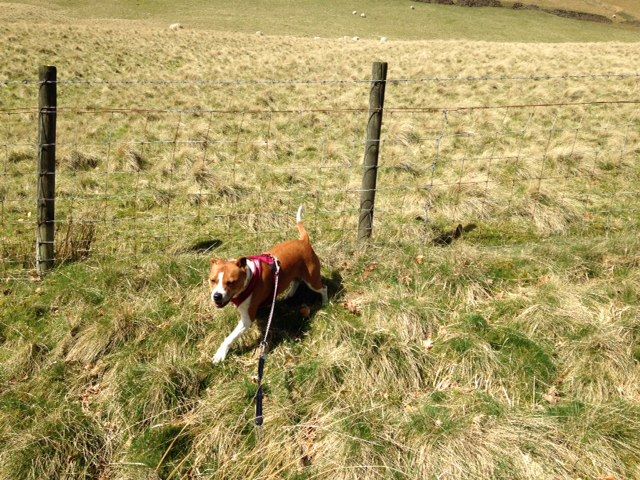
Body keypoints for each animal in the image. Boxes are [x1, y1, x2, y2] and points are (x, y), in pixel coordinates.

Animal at [210, 204, 328, 362]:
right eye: (212, 280)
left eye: (231, 282)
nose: (217, 296)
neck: (250, 277)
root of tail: (303, 241)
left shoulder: (247, 320)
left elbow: (230, 337)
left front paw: (221, 353)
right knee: (296, 281)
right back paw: (290, 294)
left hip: (312, 280)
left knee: (323, 288)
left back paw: (325, 302)